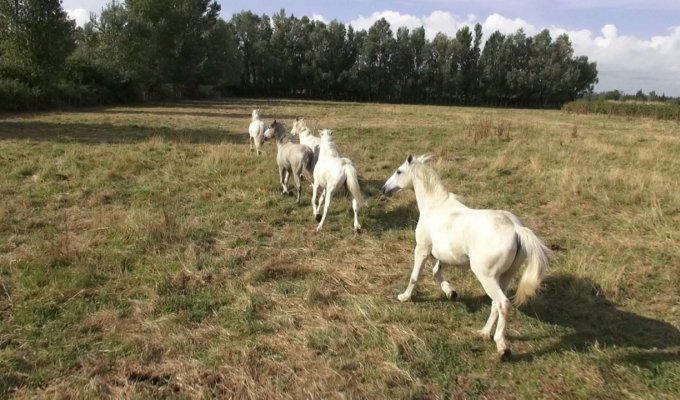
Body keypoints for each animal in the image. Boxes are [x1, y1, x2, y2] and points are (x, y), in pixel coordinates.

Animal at [380, 155, 548, 360]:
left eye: (399, 171)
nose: (384, 189)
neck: (435, 206)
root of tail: (516, 228)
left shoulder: (422, 250)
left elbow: (415, 276)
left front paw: (404, 297)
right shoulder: (444, 254)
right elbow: (436, 272)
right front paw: (451, 293)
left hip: (487, 277)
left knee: (503, 304)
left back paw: (502, 347)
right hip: (504, 277)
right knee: (495, 304)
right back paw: (483, 333)